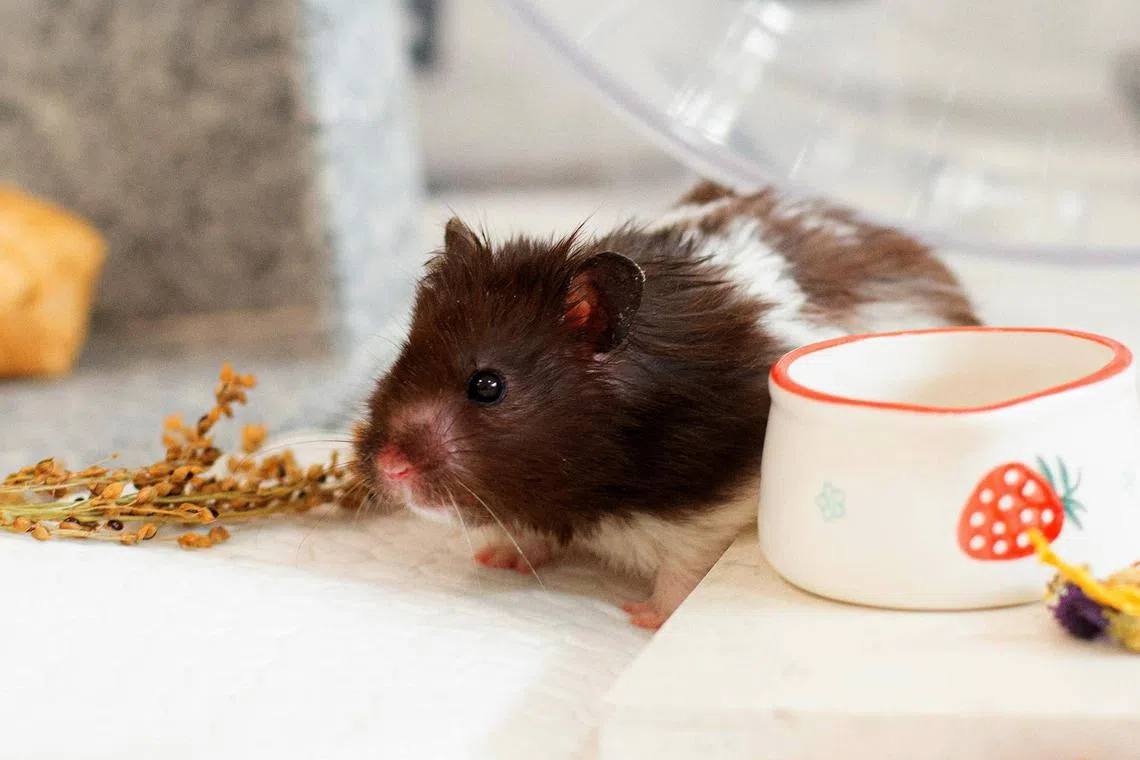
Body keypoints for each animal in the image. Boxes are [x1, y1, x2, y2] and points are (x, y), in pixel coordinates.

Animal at [352, 180, 980, 630]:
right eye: (401, 359)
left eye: (487, 386)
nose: (388, 468)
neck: (590, 483)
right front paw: (497, 558)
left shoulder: (719, 502)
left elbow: (686, 565)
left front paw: (643, 619)